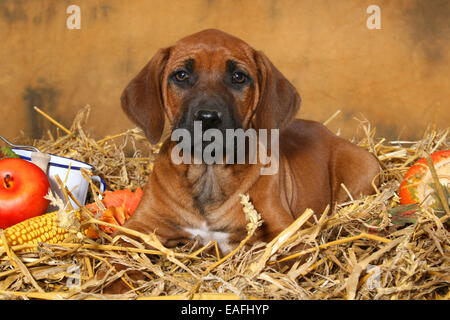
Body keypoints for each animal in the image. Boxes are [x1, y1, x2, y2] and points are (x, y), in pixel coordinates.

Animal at [116, 28, 376, 258]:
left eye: (238, 77)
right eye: (181, 75)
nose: (208, 117)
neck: (209, 174)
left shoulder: (286, 232)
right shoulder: (138, 227)